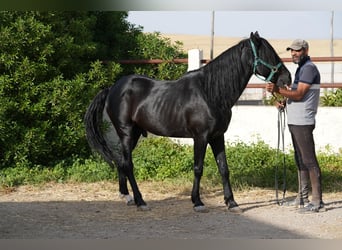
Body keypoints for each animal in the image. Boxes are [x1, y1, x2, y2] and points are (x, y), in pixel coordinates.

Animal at [84, 31, 290, 213]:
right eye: (268, 53)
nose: (287, 78)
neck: (210, 92)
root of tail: (112, 88)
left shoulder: (217, 136)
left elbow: (224, 168)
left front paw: (232, 202)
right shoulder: (200, 137)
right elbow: (198, 168)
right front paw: (197, 202)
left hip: (133, 134)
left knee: (122, 161)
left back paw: (126, 196)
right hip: (126, 132)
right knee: (128, 164)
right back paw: (140, 201)